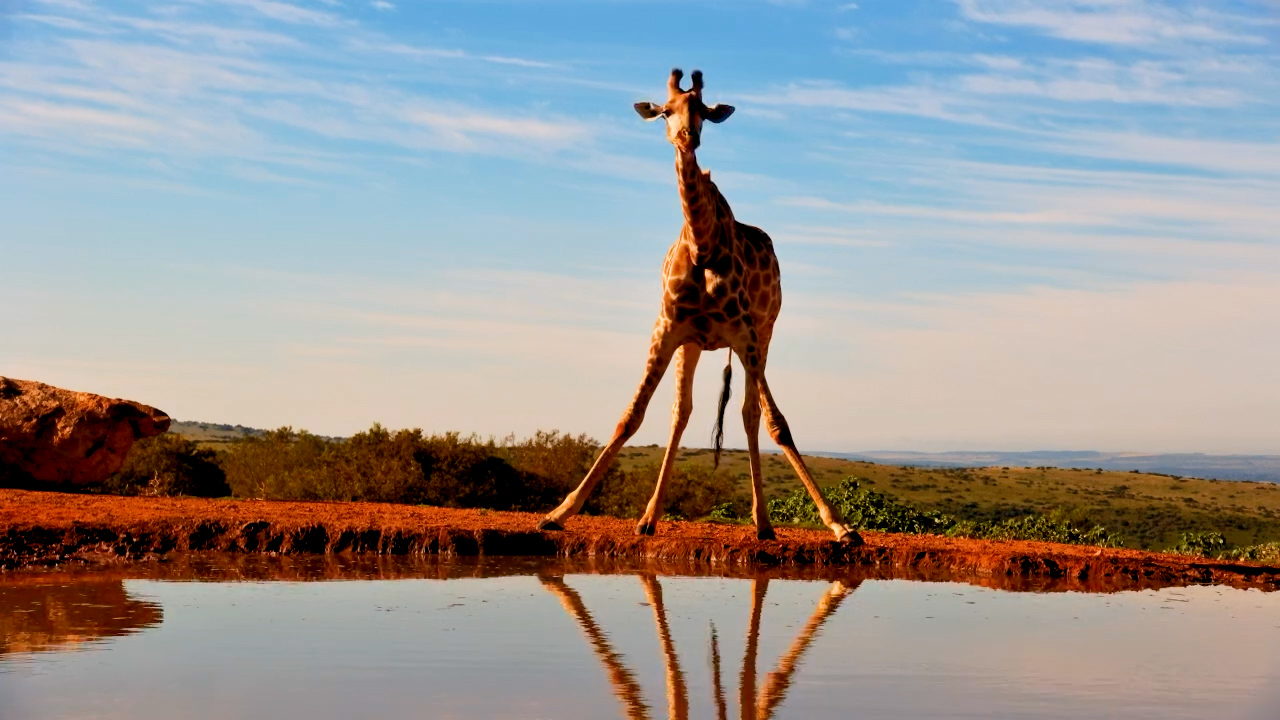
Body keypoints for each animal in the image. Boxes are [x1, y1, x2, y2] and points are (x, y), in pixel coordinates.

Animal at [537, 68, 859, 543]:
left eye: (703, 111)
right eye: (665, 111)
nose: (687, 136)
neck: (702, 245)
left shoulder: (745, 333)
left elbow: (777, 423)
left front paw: (839, 524)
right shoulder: (666, 329)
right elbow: (629, 417)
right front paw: (559, 513)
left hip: (764, 335)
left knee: (749, 413)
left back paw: (763, 524)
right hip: (692, 345)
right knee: (681, 413)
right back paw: (649, 518)